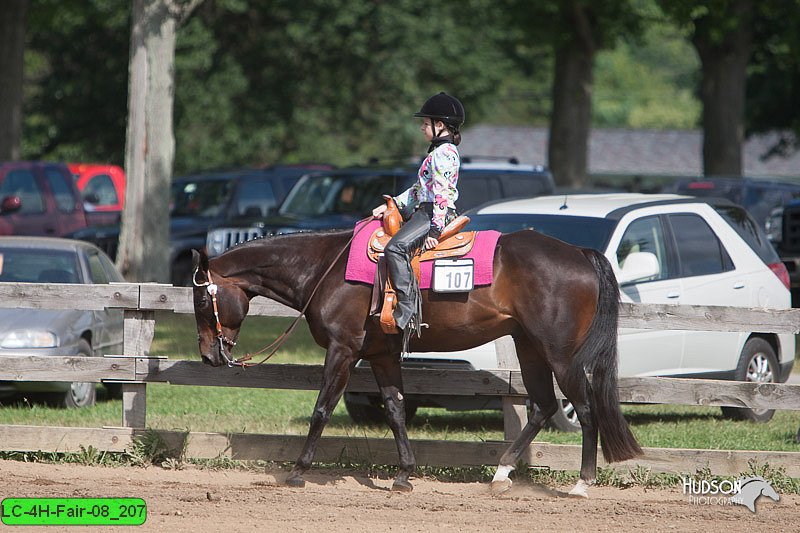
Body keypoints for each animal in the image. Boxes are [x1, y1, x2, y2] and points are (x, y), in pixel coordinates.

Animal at [192, 225, 644, 494]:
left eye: (200, 300)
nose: (208, 355)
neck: (325, 268)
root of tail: (580, 253)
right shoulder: (381, 355)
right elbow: (394, 410)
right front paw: (404, 475)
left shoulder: (343, 350)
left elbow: (322, 408)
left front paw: (298, 471)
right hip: (529, 346)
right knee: (543, 406)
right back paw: (500, 474)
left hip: (562, 356)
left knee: (584, 408)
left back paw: (582, 483)